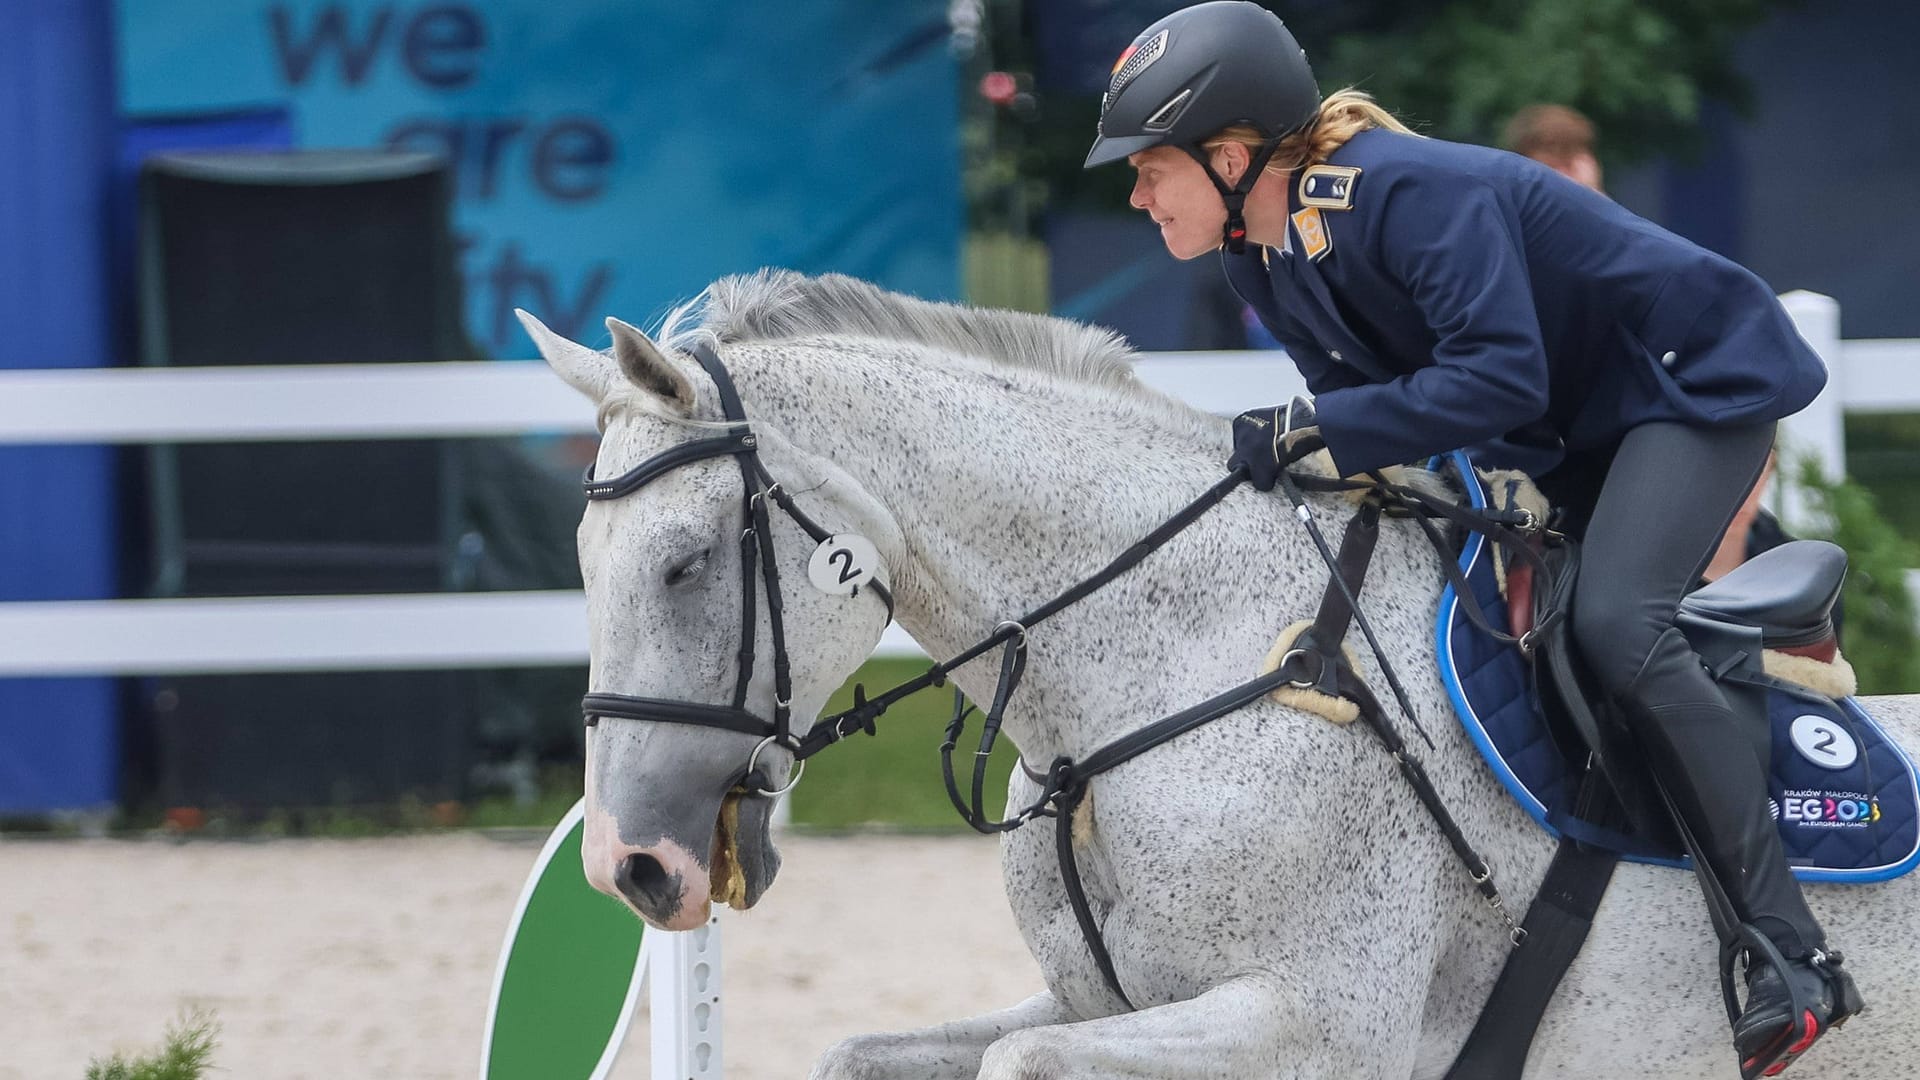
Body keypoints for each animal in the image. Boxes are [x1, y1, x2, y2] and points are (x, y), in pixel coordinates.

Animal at [522, 270, 1920, 1076]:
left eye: (685, 564)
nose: (631, 867)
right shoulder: (1091, 999)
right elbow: (869, 1054)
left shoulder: (1314, 1024)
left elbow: (1020, 1072)